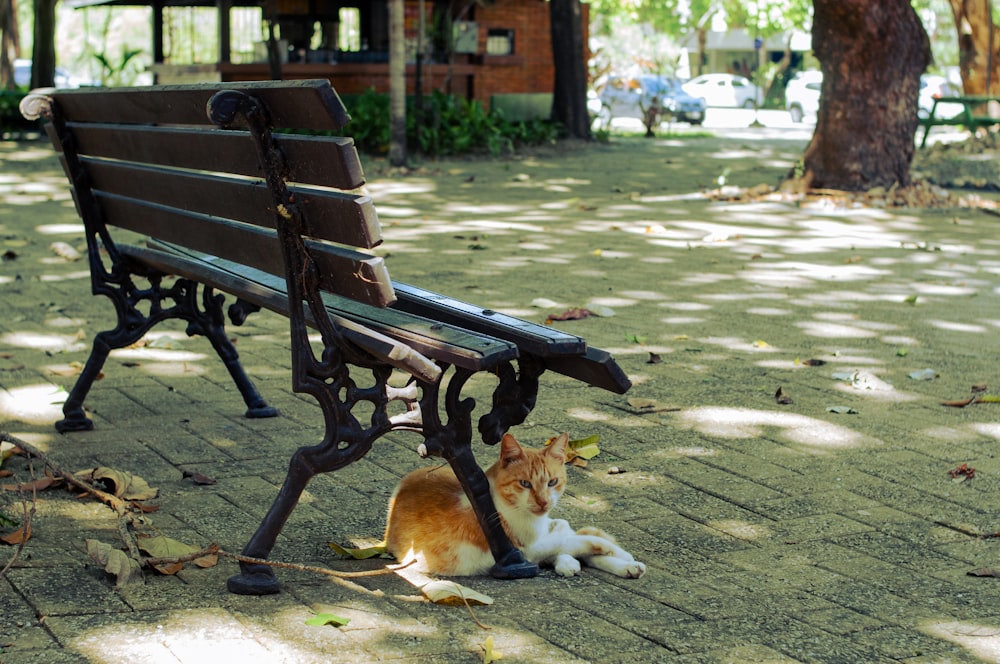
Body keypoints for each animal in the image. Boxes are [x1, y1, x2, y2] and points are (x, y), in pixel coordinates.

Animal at [382, 434, 648, 580]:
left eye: (552, 482)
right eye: (525, 484)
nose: (543, 502)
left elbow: (572, 538)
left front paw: (623, 560)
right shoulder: (524, 550)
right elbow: (576, 541)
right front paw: (621, 554)